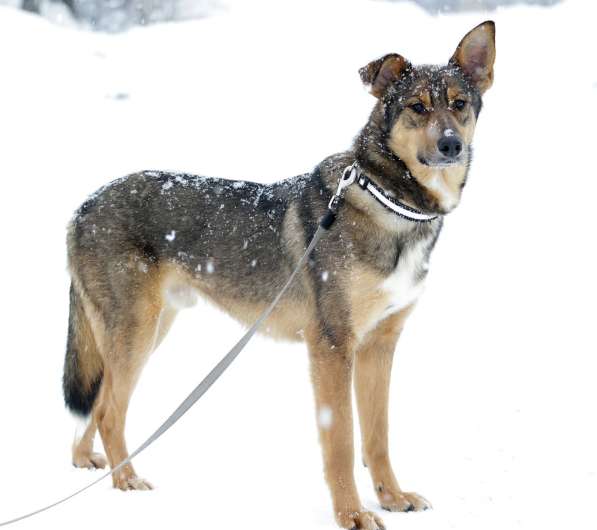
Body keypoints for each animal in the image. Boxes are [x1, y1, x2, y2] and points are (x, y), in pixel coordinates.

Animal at [62, 21, 496, 528]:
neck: (389, 199)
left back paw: (90, 464)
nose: (451, 146)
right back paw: (127, 483)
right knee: (110, 410)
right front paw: (352, 514)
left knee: (98, 401)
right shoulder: (332, 347)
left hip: (148, 330)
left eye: (459, 104)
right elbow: (342, 442)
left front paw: (392, 497)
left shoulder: (380, 346)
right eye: (417, 107)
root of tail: (82, 208)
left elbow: (378, 437)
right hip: (136, 330)